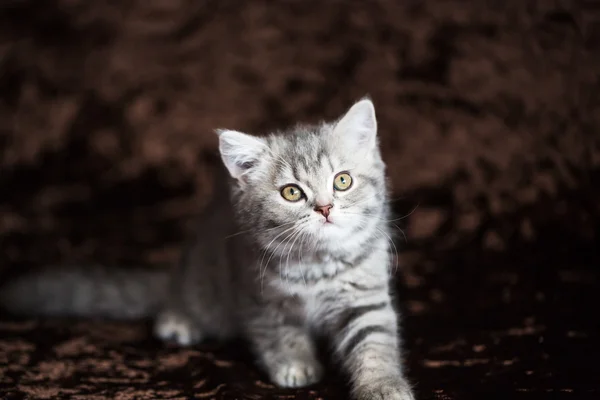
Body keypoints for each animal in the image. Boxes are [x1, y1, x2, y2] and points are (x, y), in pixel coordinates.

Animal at [0, 98, 414, 398]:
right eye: (292, 193)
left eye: (342, 181)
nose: (325, 208)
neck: (316, 265)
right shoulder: (258, 294)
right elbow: (280, 334)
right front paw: (295, 364)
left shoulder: (365, 296)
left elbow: (375, 343)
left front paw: (383, 387)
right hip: (204, 290)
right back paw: (178, 322)